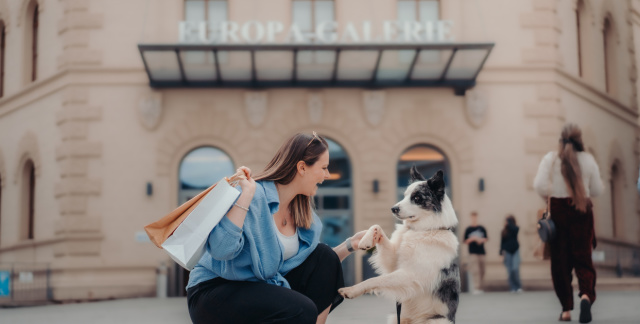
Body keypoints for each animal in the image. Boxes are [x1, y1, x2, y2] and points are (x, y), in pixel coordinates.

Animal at [340, 168, 460, 322]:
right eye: (405, 196)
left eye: (417, 198)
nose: (393, 209)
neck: (420, 230)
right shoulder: (394, 264)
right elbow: (376, 225)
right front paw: (365, 240)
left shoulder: (410, 275)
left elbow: (376, 279)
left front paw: (351, 290)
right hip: (394, 318)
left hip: (437, 320)